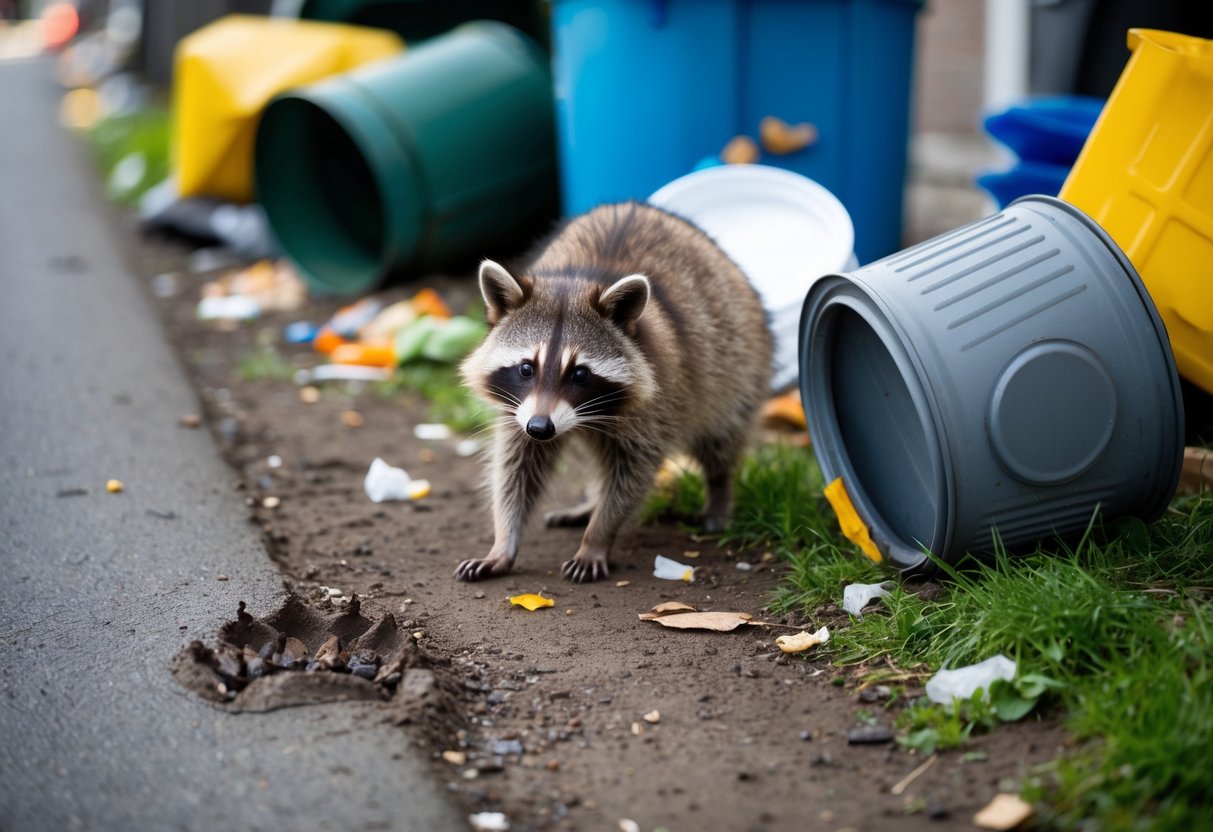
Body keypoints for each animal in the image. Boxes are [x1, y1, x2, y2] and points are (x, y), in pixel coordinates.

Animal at [457, 202, 773, 582]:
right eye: (526, 368)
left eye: (580, 373)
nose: (541, 428)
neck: (576, 280)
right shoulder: (519, 410)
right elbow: (515, 468)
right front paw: (503, 541)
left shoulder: (658, 403)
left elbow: (632, 473)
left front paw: (597, 536)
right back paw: (590, 502)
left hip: (739, 367)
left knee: (721, 439)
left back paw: (718, 490)